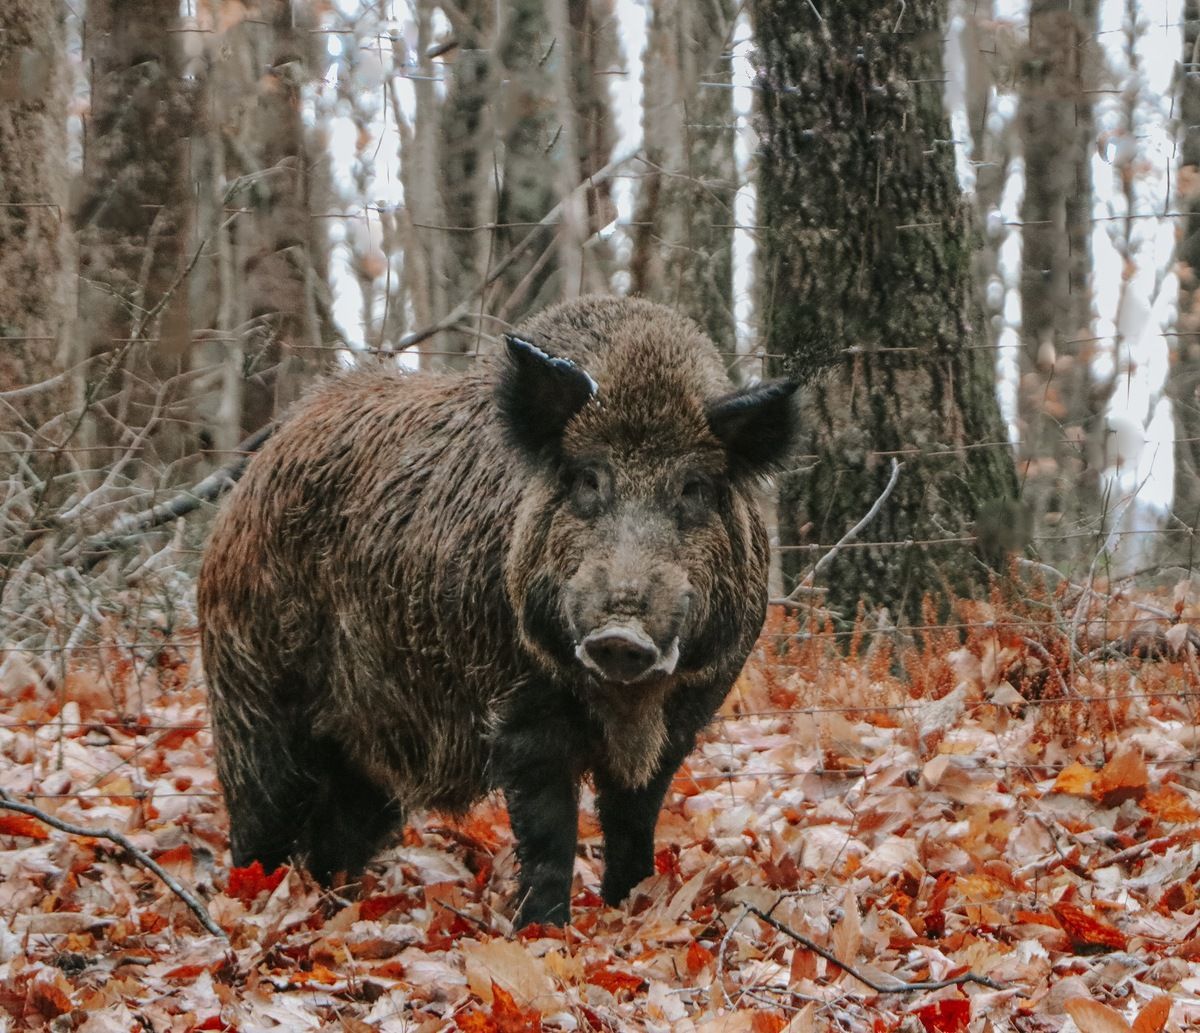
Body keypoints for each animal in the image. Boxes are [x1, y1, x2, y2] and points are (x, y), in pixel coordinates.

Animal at [198, 295, 798, 925]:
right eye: (587, 480)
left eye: (694, 488)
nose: (620, 633)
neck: (626, 703)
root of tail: (256, 468)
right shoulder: (518, 708)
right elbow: (549, 832)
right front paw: (543, 930)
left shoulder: (688, 714)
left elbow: (634, 821)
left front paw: (630, 910)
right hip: (253, 695)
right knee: (258, 820)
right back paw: (251, 904)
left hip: (368, 750)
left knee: (337, 835)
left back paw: (333, 905)